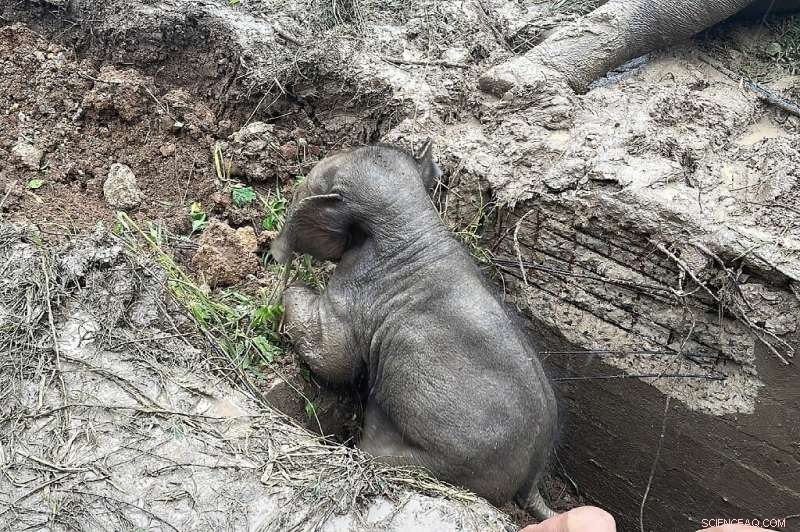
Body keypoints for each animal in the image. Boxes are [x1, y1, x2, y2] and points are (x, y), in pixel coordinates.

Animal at [270, 141, 559, 519]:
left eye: (309, 183)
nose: (272, 255)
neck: (411, 219)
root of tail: (532, 481)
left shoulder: (356, 296)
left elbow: (333, 357)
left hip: (445, 464)